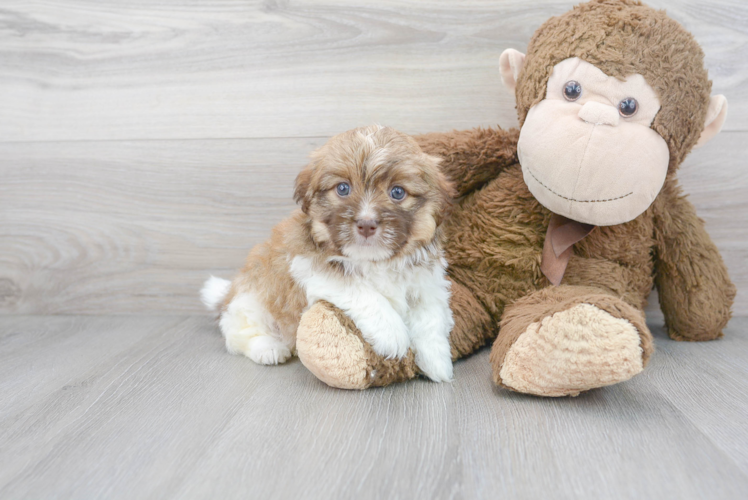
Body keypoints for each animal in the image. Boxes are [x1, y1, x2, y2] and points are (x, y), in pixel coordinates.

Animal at [200, 125, 456, 382]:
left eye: (397, 192)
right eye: (343, 188)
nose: (366, 224)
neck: (374, 260)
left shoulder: (426, 282)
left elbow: (430, 316)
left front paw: (437, 360)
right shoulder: (311, 267)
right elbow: (366, 294)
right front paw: (392, 334)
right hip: (252, 300)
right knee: (238, 333)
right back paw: (269, 348)